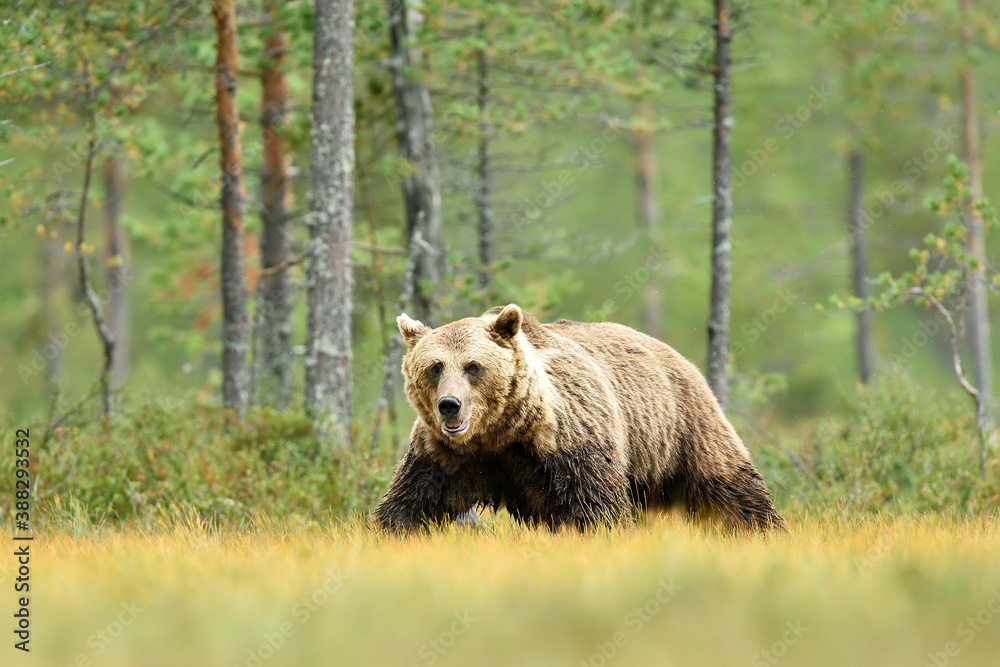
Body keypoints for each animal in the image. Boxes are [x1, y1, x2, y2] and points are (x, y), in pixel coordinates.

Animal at [371, 304, 787, 533]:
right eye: (435, 367)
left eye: (473, 366)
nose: (450, 405)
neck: (504, 432)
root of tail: (676, 354)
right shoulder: (445, 454)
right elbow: (411, 502)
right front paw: (389, 532)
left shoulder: (570, 438)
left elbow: (595, 507)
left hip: (680, 427)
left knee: (729, 488)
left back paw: (763, 530)